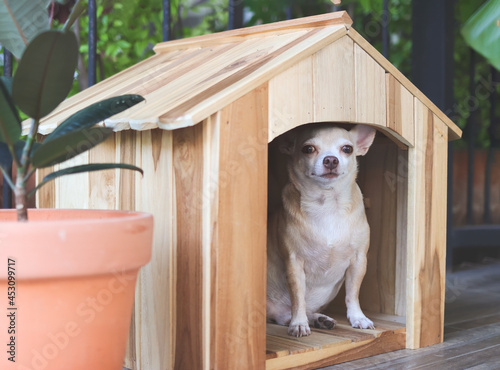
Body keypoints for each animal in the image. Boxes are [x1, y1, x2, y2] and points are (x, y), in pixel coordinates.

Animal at [266, 123, 376, 336]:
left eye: (347, 149)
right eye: (308, 149)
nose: (331, 159)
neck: (327, 204)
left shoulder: (358, 261)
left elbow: (352, 294)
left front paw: (358, 317)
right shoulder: (294, 263)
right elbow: (298, 298)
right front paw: (299, 323)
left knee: (284, 316)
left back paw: (319, 319)